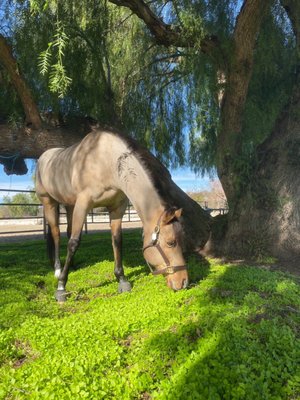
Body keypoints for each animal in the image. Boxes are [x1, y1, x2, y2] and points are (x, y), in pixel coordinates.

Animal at [35, 128, 190, 300]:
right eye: (171, 242)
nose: (184, 282)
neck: (105, 162)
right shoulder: (83, 204)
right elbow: (74, 243)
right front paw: (61, 287)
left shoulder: (116, 208)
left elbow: (117, 241)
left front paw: (121, 279)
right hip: (49, 203)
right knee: (56, 234)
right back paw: (57, 269)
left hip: (70, 205)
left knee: (68, 232)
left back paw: (71, 266)